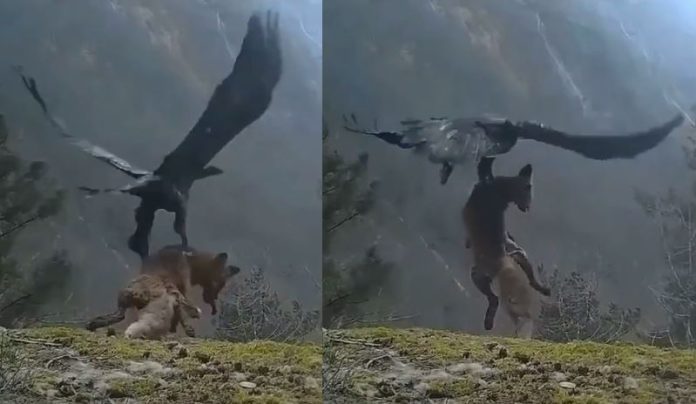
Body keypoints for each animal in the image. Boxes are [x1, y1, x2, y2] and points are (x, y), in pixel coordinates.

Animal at [86, 245, 241, 338]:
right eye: (218, 282)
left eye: (221, 285)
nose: (214, 302)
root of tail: (164, 287)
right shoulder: (182, 289)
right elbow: (179, 315)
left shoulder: (181, 290)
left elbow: (179, 316)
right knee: (120, 316)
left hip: (126, 295)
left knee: (120, 315)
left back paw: (94, 323)